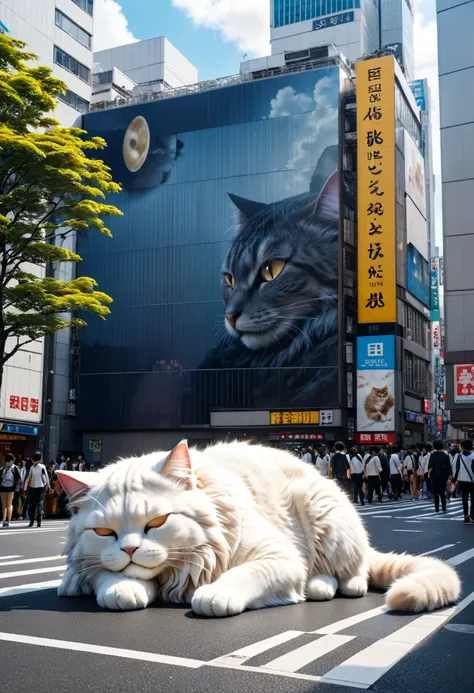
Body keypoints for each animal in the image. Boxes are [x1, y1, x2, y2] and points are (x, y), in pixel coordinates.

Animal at [55, 440, 460, 612]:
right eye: (104, 532)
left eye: (157, 522)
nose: (128, 549)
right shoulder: (84, 569)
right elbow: (102, 577)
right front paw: (123, 588)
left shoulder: (280, 557)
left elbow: (246, 573)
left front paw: (214, 595)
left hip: (324, 512)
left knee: (350, 572)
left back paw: (325, 586)